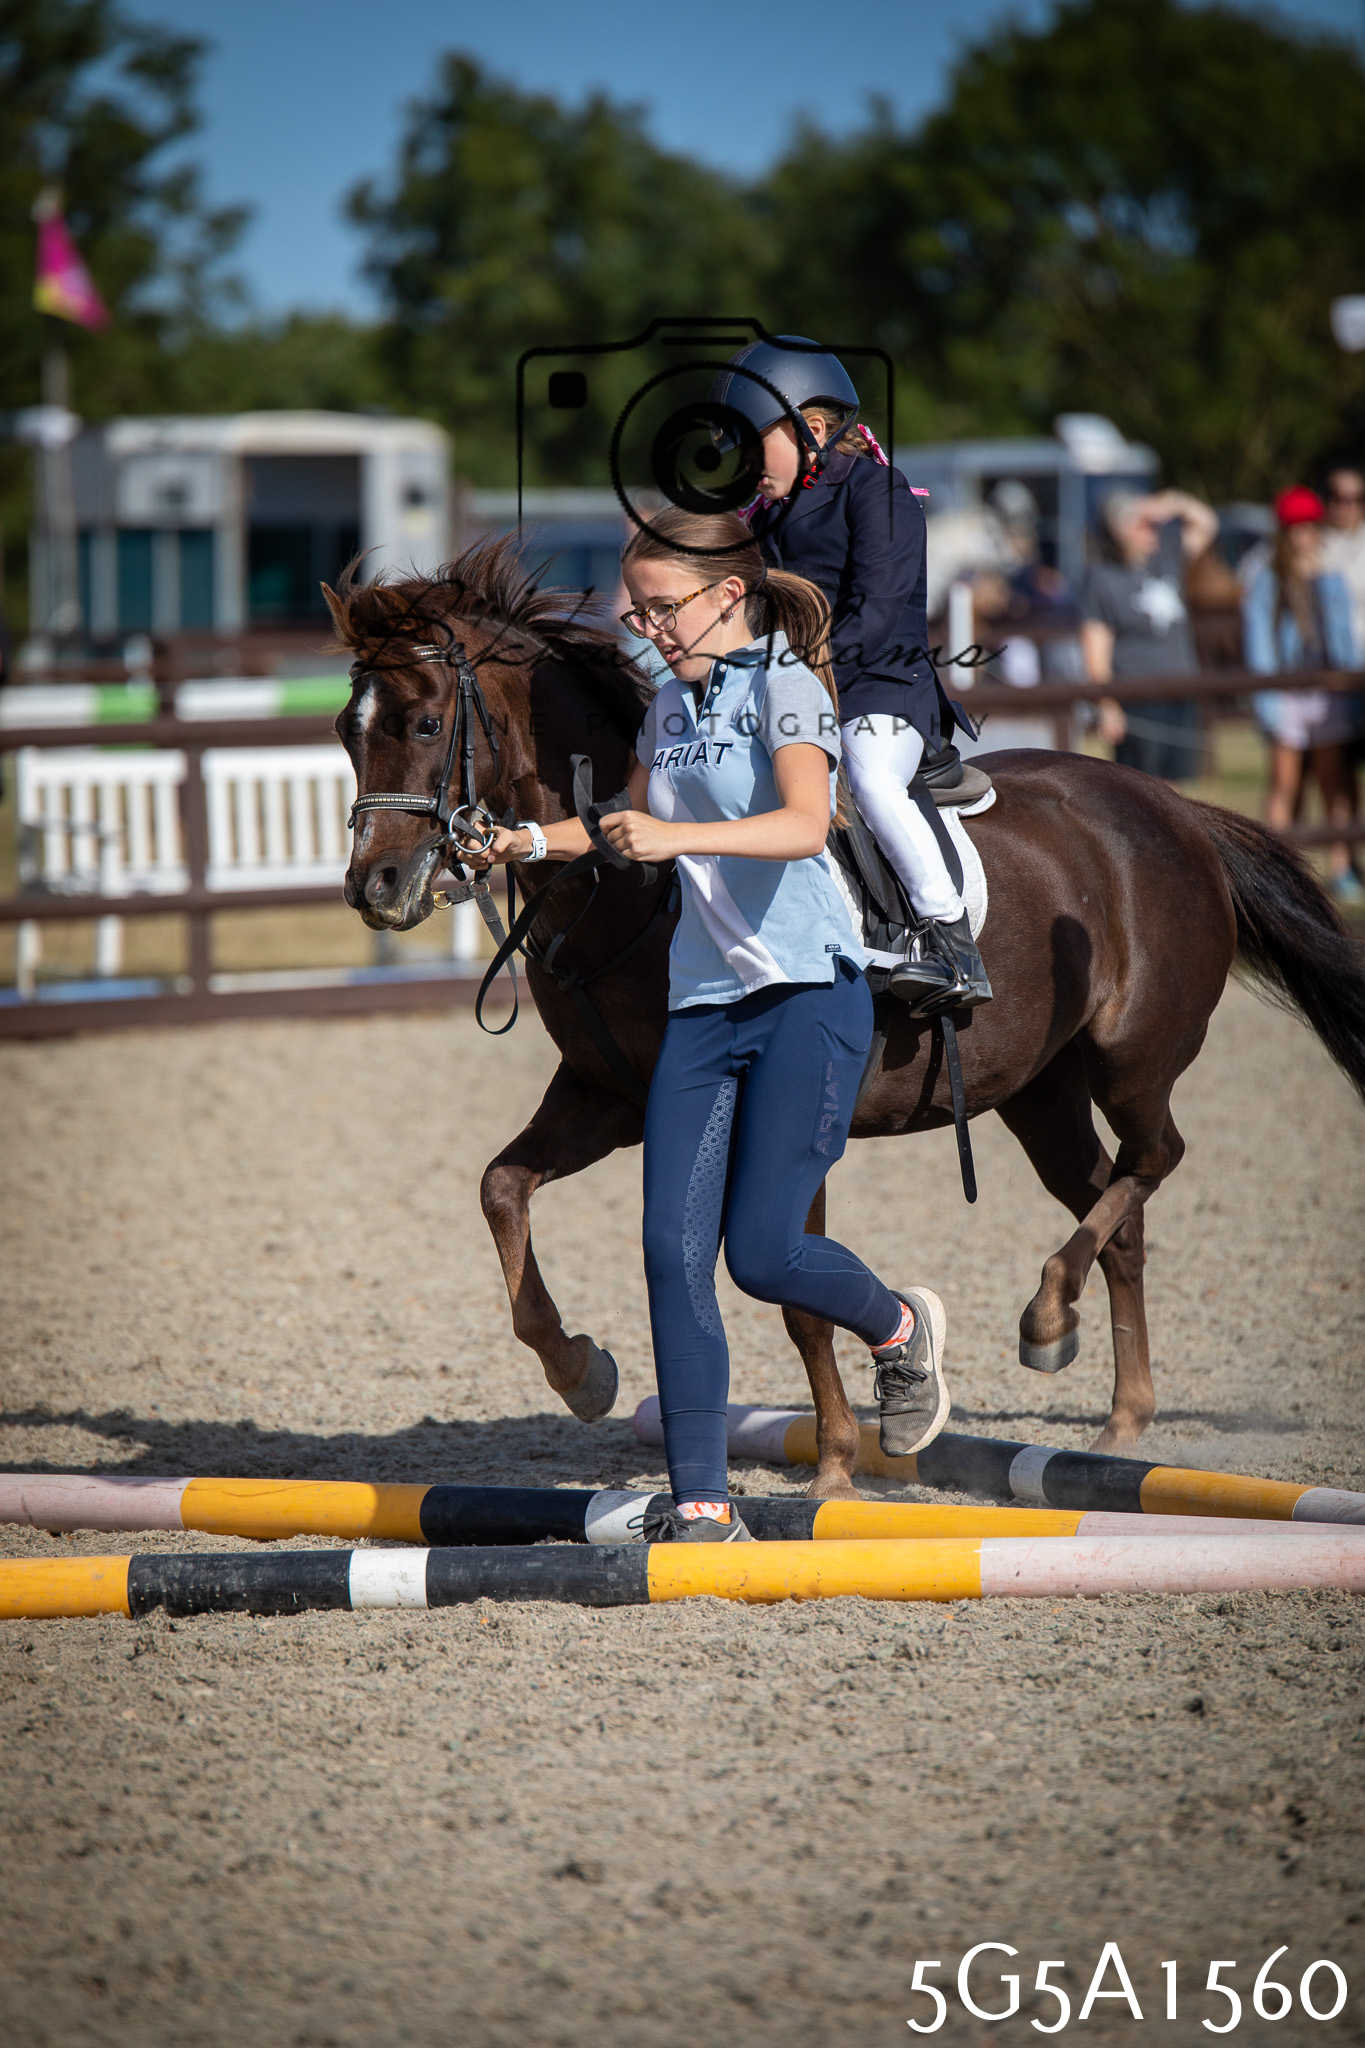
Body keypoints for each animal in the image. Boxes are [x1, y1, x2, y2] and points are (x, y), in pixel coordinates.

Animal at [328, 537, 1365, 1499]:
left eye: (426, 721)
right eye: (347, 728)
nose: (374, 888)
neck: (638, 893)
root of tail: (1175, 807)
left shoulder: (776, 1122)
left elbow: (797, 1296)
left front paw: (831, 1467)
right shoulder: (606, 1097)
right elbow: (501, 1188)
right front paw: (580, 1370)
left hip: (1130, 1059)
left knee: (1153, 1159)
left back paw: (1045, 1316)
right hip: (1037, 1093)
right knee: (1117, 1212)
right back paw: (1116, 1414)